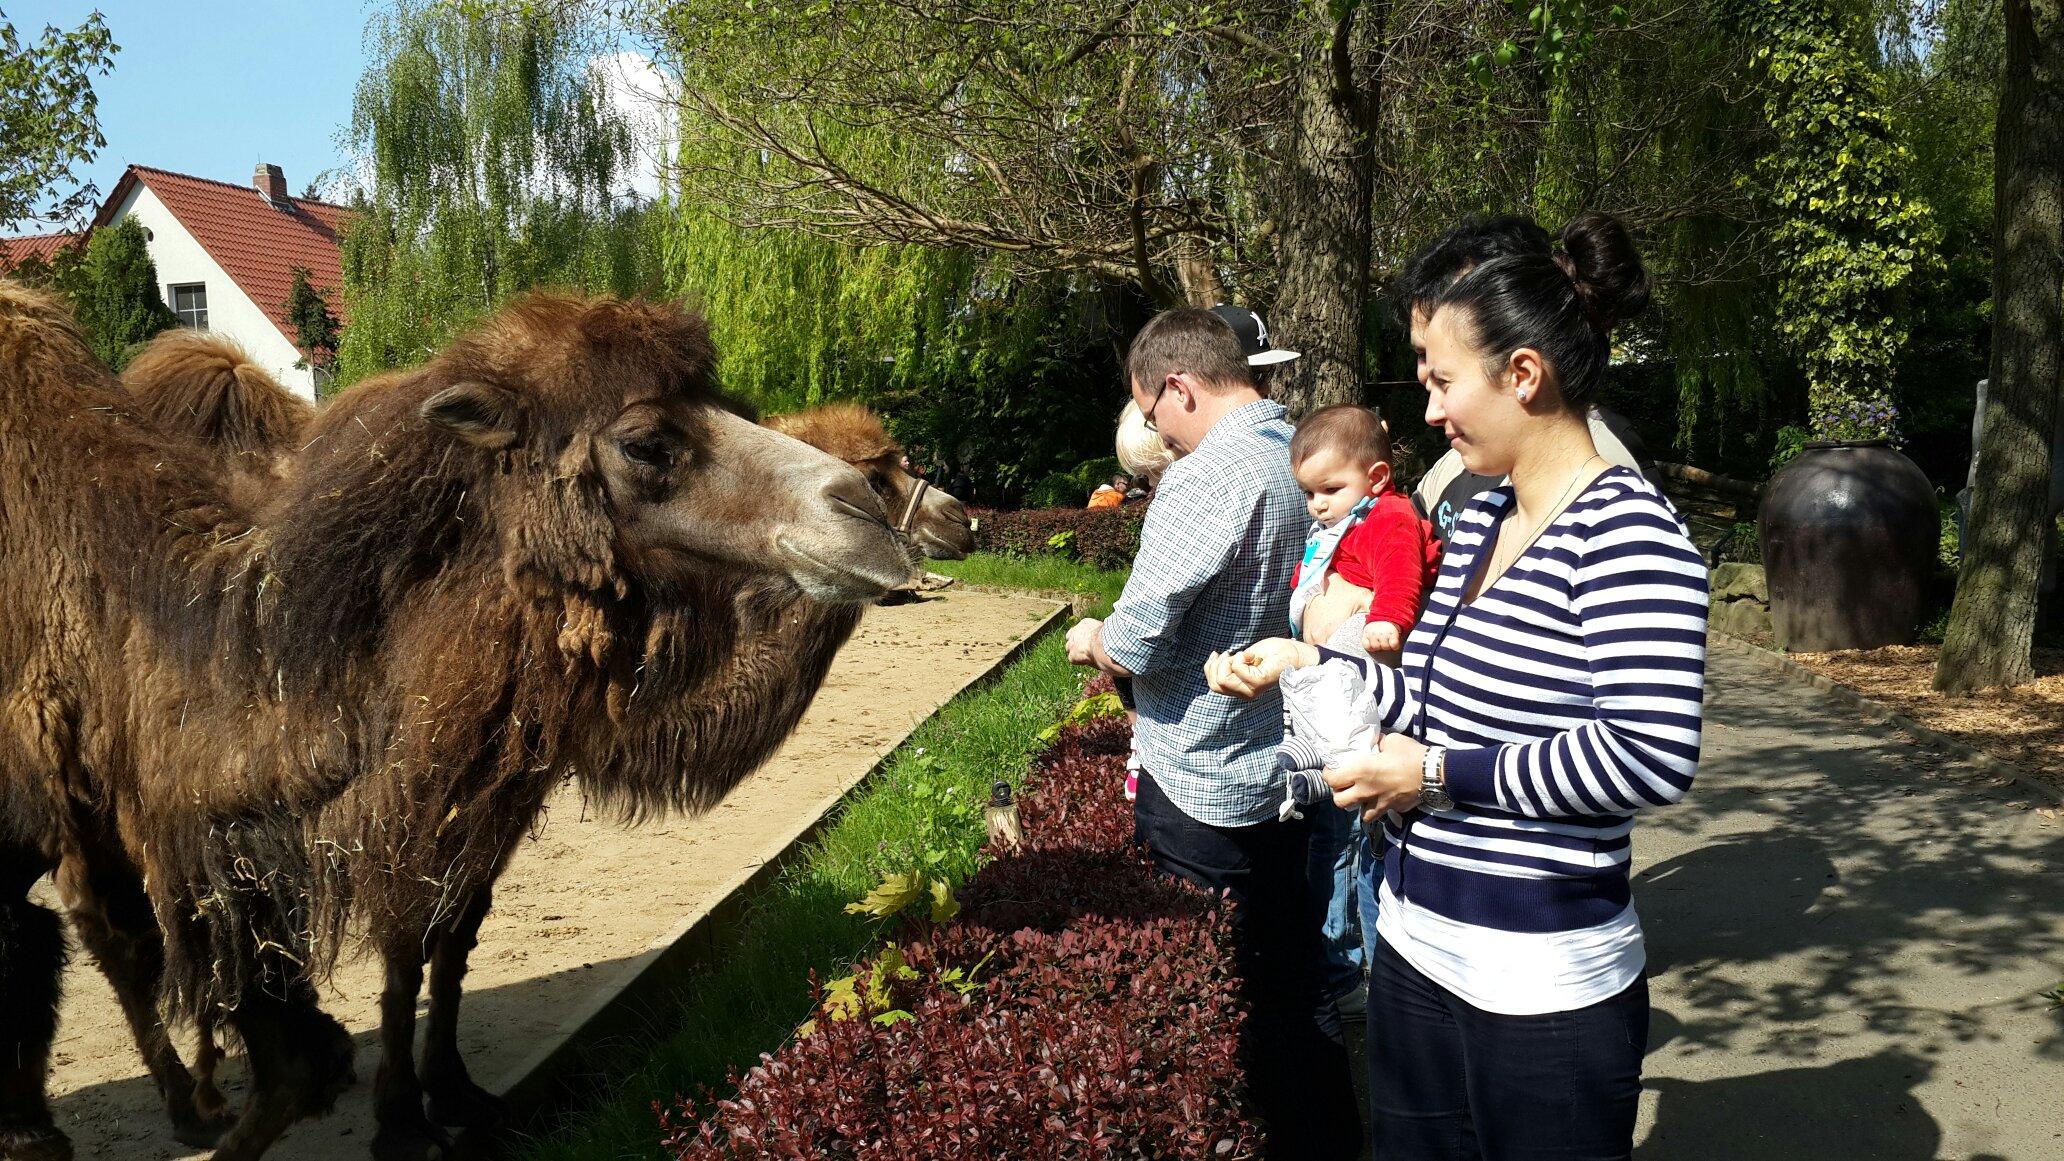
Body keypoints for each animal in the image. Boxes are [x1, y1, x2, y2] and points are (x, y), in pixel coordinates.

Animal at [0, 283, 908, 1156]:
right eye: (647, 443)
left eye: (737, 407)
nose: (871, 519)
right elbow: (400, 944)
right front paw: (403, 1118)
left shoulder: (487, 781)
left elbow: (446, 935)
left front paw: (450, 1092)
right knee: (108, 930)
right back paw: (189, 1101)